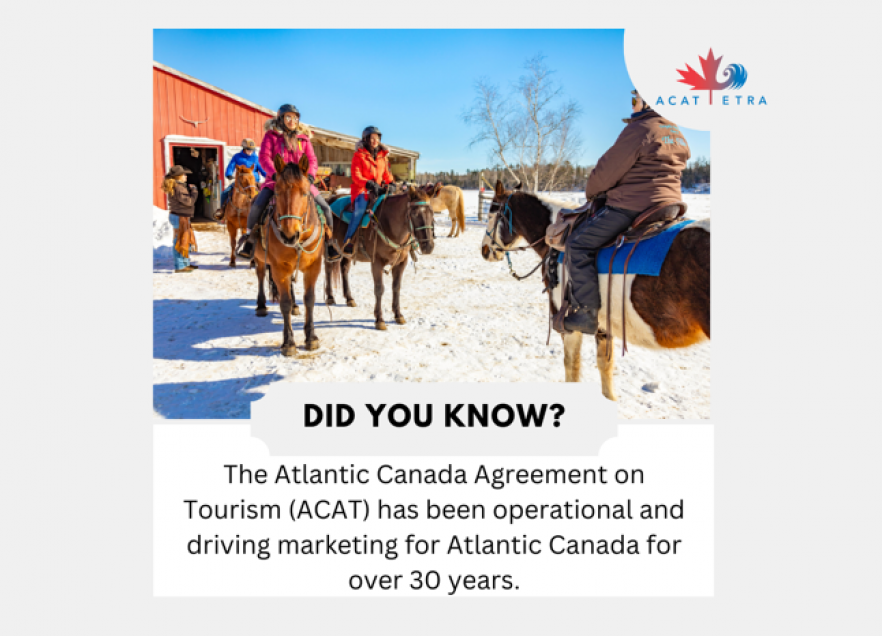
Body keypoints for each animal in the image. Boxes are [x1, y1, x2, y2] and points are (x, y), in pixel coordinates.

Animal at [251, 152, 326, 356]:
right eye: (277, 192)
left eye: (305, 192)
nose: (289, 235)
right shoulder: (279, 269)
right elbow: (283, 302)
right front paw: (289, 342)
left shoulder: (313, 267)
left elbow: (309, 300)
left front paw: (311, 337)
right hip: (260, 259)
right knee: (260, 276)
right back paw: (261, 306)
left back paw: (294, 306)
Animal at [324, 186, 434, 330]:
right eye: (414, 214)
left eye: (432, 213)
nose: (428, 246)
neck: (390, 225)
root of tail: (329, 199)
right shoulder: (376, 263)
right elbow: (379, 289)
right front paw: (379, 319)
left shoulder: (401, 263)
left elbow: (396, 287)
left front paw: (398, 315)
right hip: (329, 247)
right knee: (328, 269)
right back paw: (330, 297)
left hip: (346, 252)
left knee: (344, 269)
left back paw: (349, 298)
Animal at [482, 179, 708, 400]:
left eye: (491, 214)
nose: (485, 250)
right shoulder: (604, 325)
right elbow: (605, 366)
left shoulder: (567, 324)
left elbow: (572, 368)